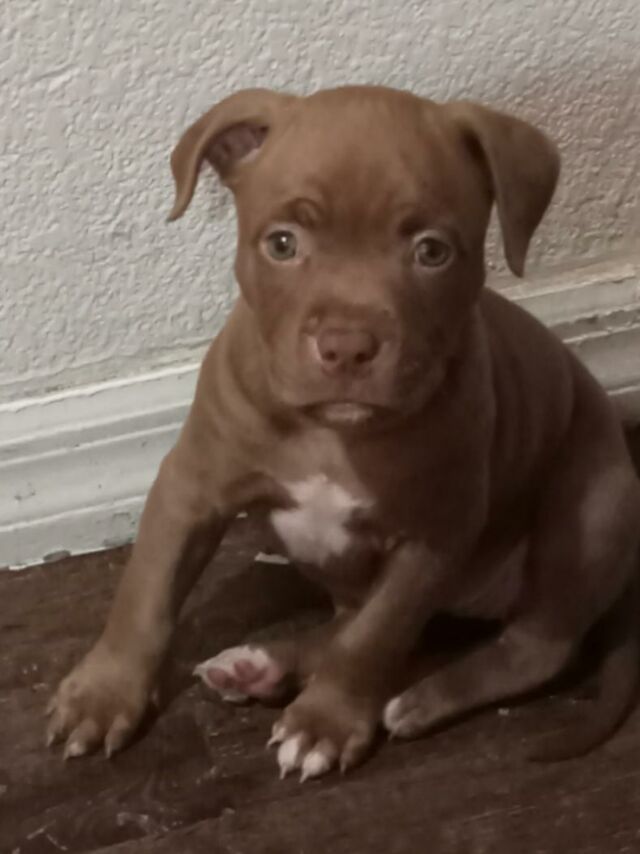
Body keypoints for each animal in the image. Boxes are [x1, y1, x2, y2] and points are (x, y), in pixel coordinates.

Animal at [47, 85, 640, 781]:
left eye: (432, 251)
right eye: (282, 243)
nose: (348, 346)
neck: (329, 432)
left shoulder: (432, 538)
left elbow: (373, 638)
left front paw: (325, 723)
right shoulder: (189, 489)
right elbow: (145, 593)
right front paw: (103, 693)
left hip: (590, 508)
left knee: (533, 646)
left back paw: (416, 700)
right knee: (368, 624)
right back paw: (264, 666)